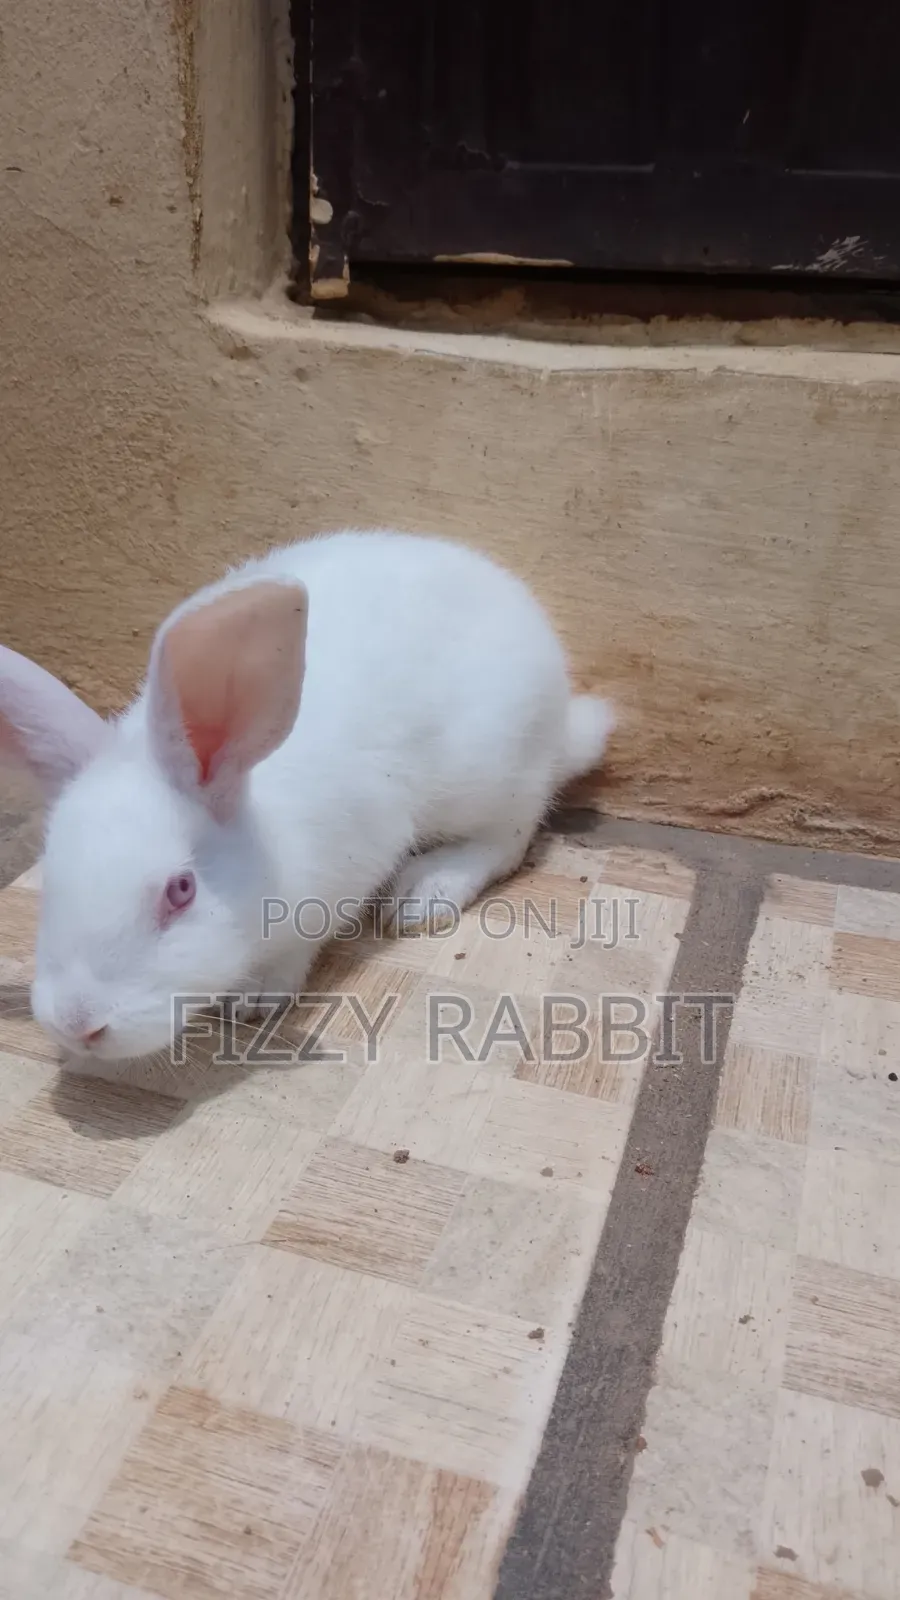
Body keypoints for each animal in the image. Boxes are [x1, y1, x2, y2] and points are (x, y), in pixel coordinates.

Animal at [0, 529, 615, 1063]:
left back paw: (422, 894)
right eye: (49, 877)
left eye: (181, 890)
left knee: (508, 839)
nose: (78, 1024)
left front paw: (254, 997)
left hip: (492, 776)